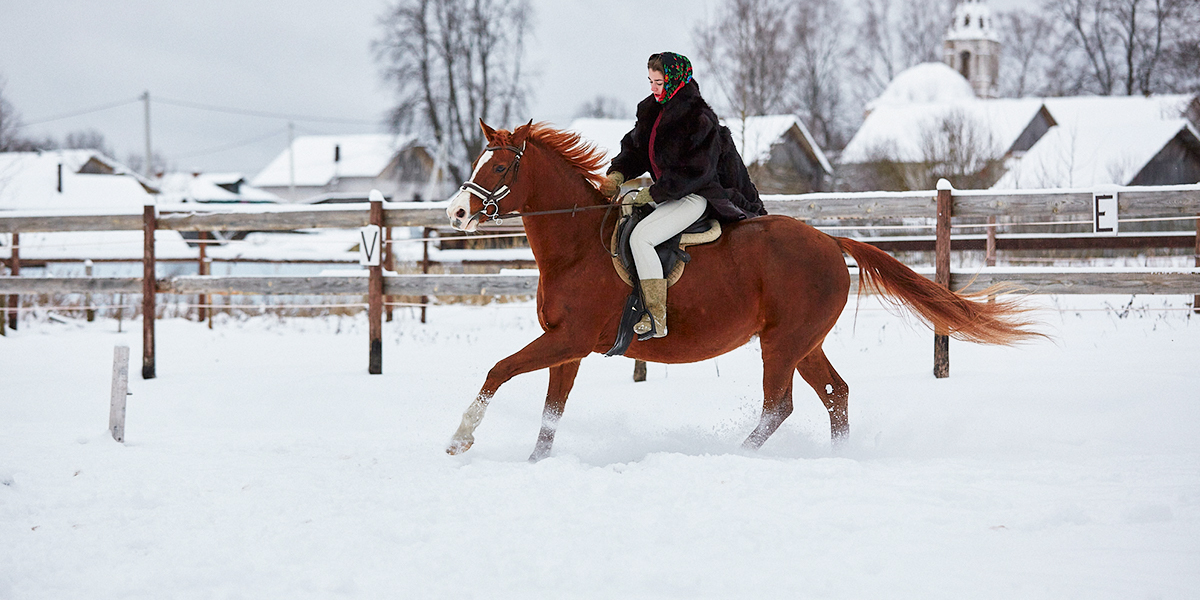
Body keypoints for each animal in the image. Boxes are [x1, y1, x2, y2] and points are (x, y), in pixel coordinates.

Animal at [446, 119, 1036, 460]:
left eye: (501, 166)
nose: (454, 212)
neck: (577, 244)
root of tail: (830, 241)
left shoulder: (568, 341)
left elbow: (497, 371)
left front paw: (460, 439)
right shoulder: (566, 349)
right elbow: (550, 414)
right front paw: (535, 463)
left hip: (781, 343)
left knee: (780, 406)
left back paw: (738, 456)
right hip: (803, 343)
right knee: (835, 394)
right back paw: (838, 460)